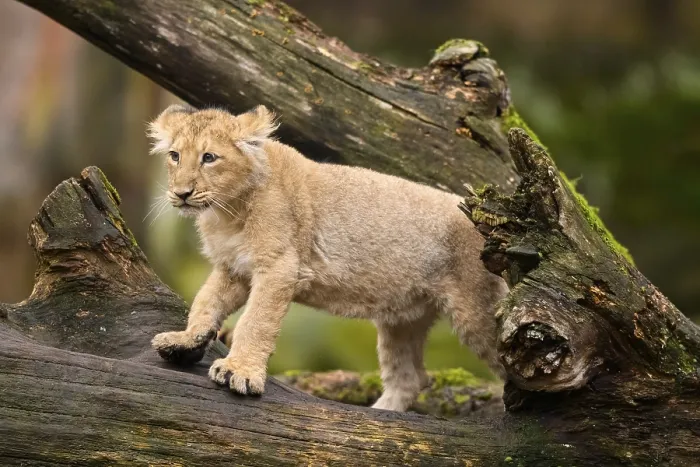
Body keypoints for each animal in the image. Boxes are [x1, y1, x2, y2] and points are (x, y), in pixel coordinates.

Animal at [149, 104, 507, 411]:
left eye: (209, 157)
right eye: (175, 156)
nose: (181, 194)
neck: (227, 212)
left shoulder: (279, 267)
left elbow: (256, 321)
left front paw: (240, 371)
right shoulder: (233, 269)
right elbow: (206, 301)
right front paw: (185, 340)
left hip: (477, 309)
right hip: (404, 317)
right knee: (410, 379)